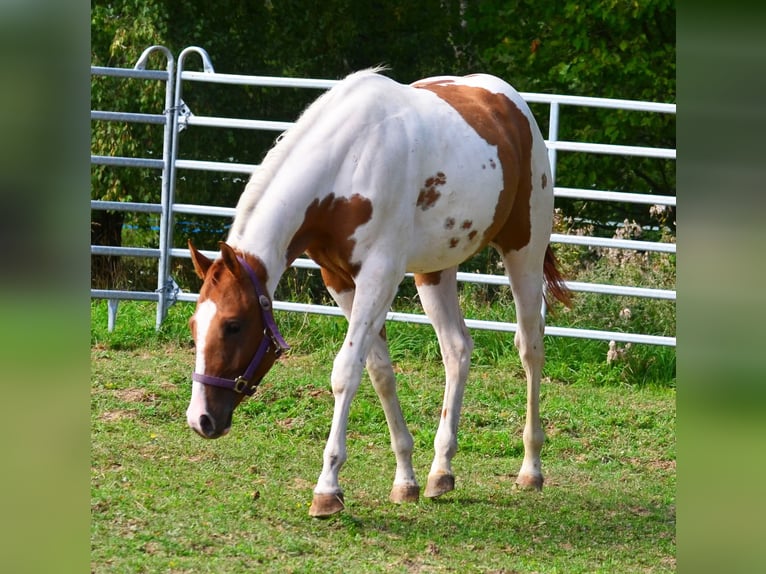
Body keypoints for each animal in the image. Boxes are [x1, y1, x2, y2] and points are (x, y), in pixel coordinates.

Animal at [186, 69, 571, 518]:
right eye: (195, 325)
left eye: (233, 325)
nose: (201, 419)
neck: (347, 164)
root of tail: (509, 101)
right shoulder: (340, 280)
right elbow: (379, 372)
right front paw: (405, 478)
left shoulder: (379, 276)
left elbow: (346, 372)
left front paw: (327, 488)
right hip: (434, 270)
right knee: (457, 349)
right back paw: (441, 470)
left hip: (523, 251)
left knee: (530, 346)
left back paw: (530, 468)